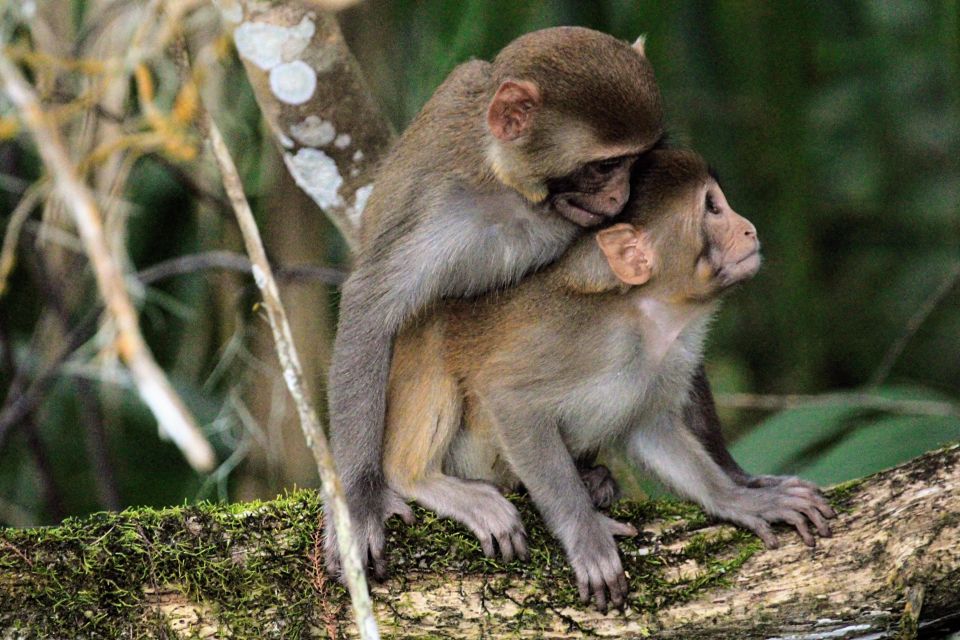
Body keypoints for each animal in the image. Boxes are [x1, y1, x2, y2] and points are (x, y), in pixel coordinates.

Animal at [326, 26, 664, 580]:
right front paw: (357, 506)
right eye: (605, 166)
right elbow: (369, 307)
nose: (619, 198)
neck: (510, 189)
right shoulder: (442, 209)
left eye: (634, 163)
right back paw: (417, 478)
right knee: (434, 316)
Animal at [382, 149, 832, 608]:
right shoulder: (581, 338)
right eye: (712, 208)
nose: (748, 227)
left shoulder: (663, 361)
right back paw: (419, 479)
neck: (649, 318)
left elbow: (650, 429)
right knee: (432, 328)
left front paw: (741, 498)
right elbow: (507, 397)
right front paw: (587, 536)